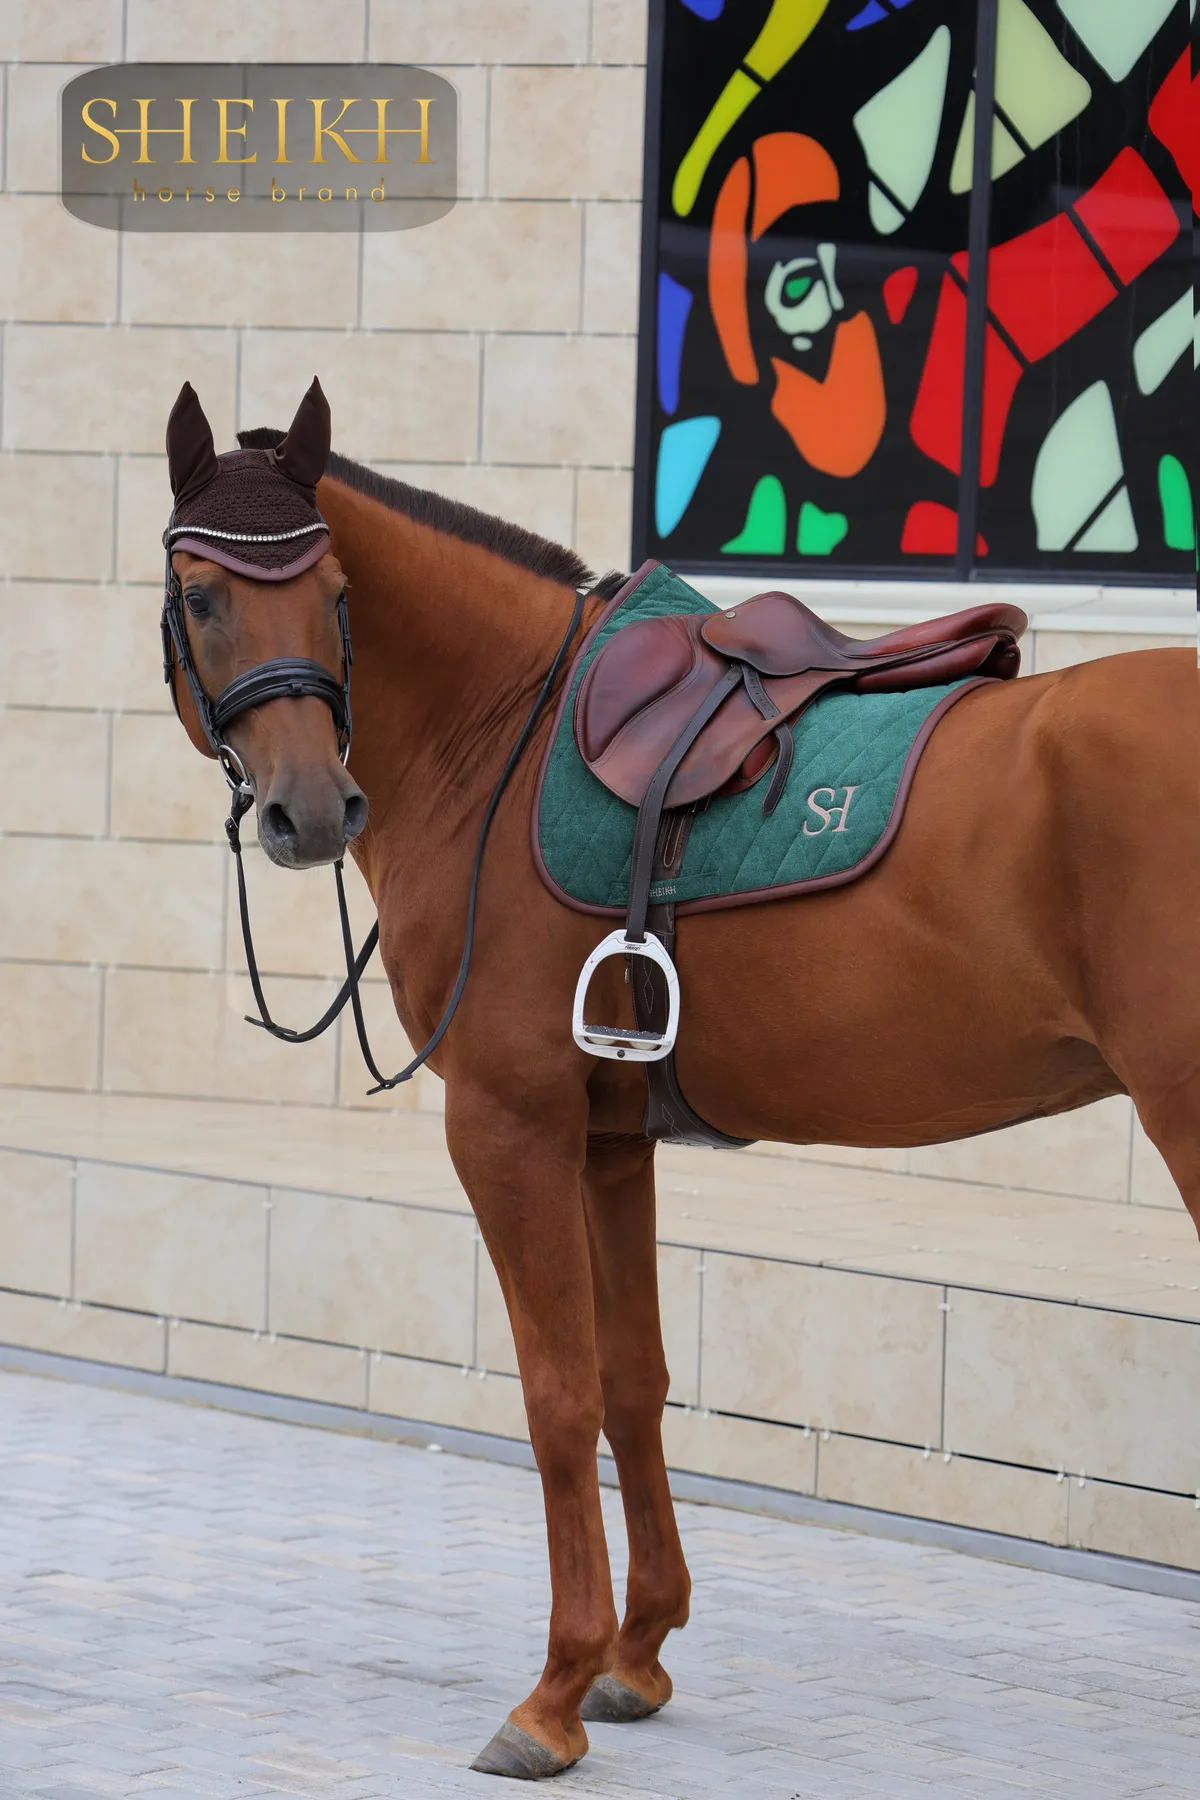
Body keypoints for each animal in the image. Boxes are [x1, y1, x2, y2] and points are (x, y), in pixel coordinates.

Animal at [158, 380, 1199, 1780]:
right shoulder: (610, 1139)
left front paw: (550, 1692)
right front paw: (635, 1654)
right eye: (203, 595)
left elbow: (555, 1396)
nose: (309, 811)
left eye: (331, 591)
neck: (502, 730)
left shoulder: (509, 1129)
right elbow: (633, 1381)